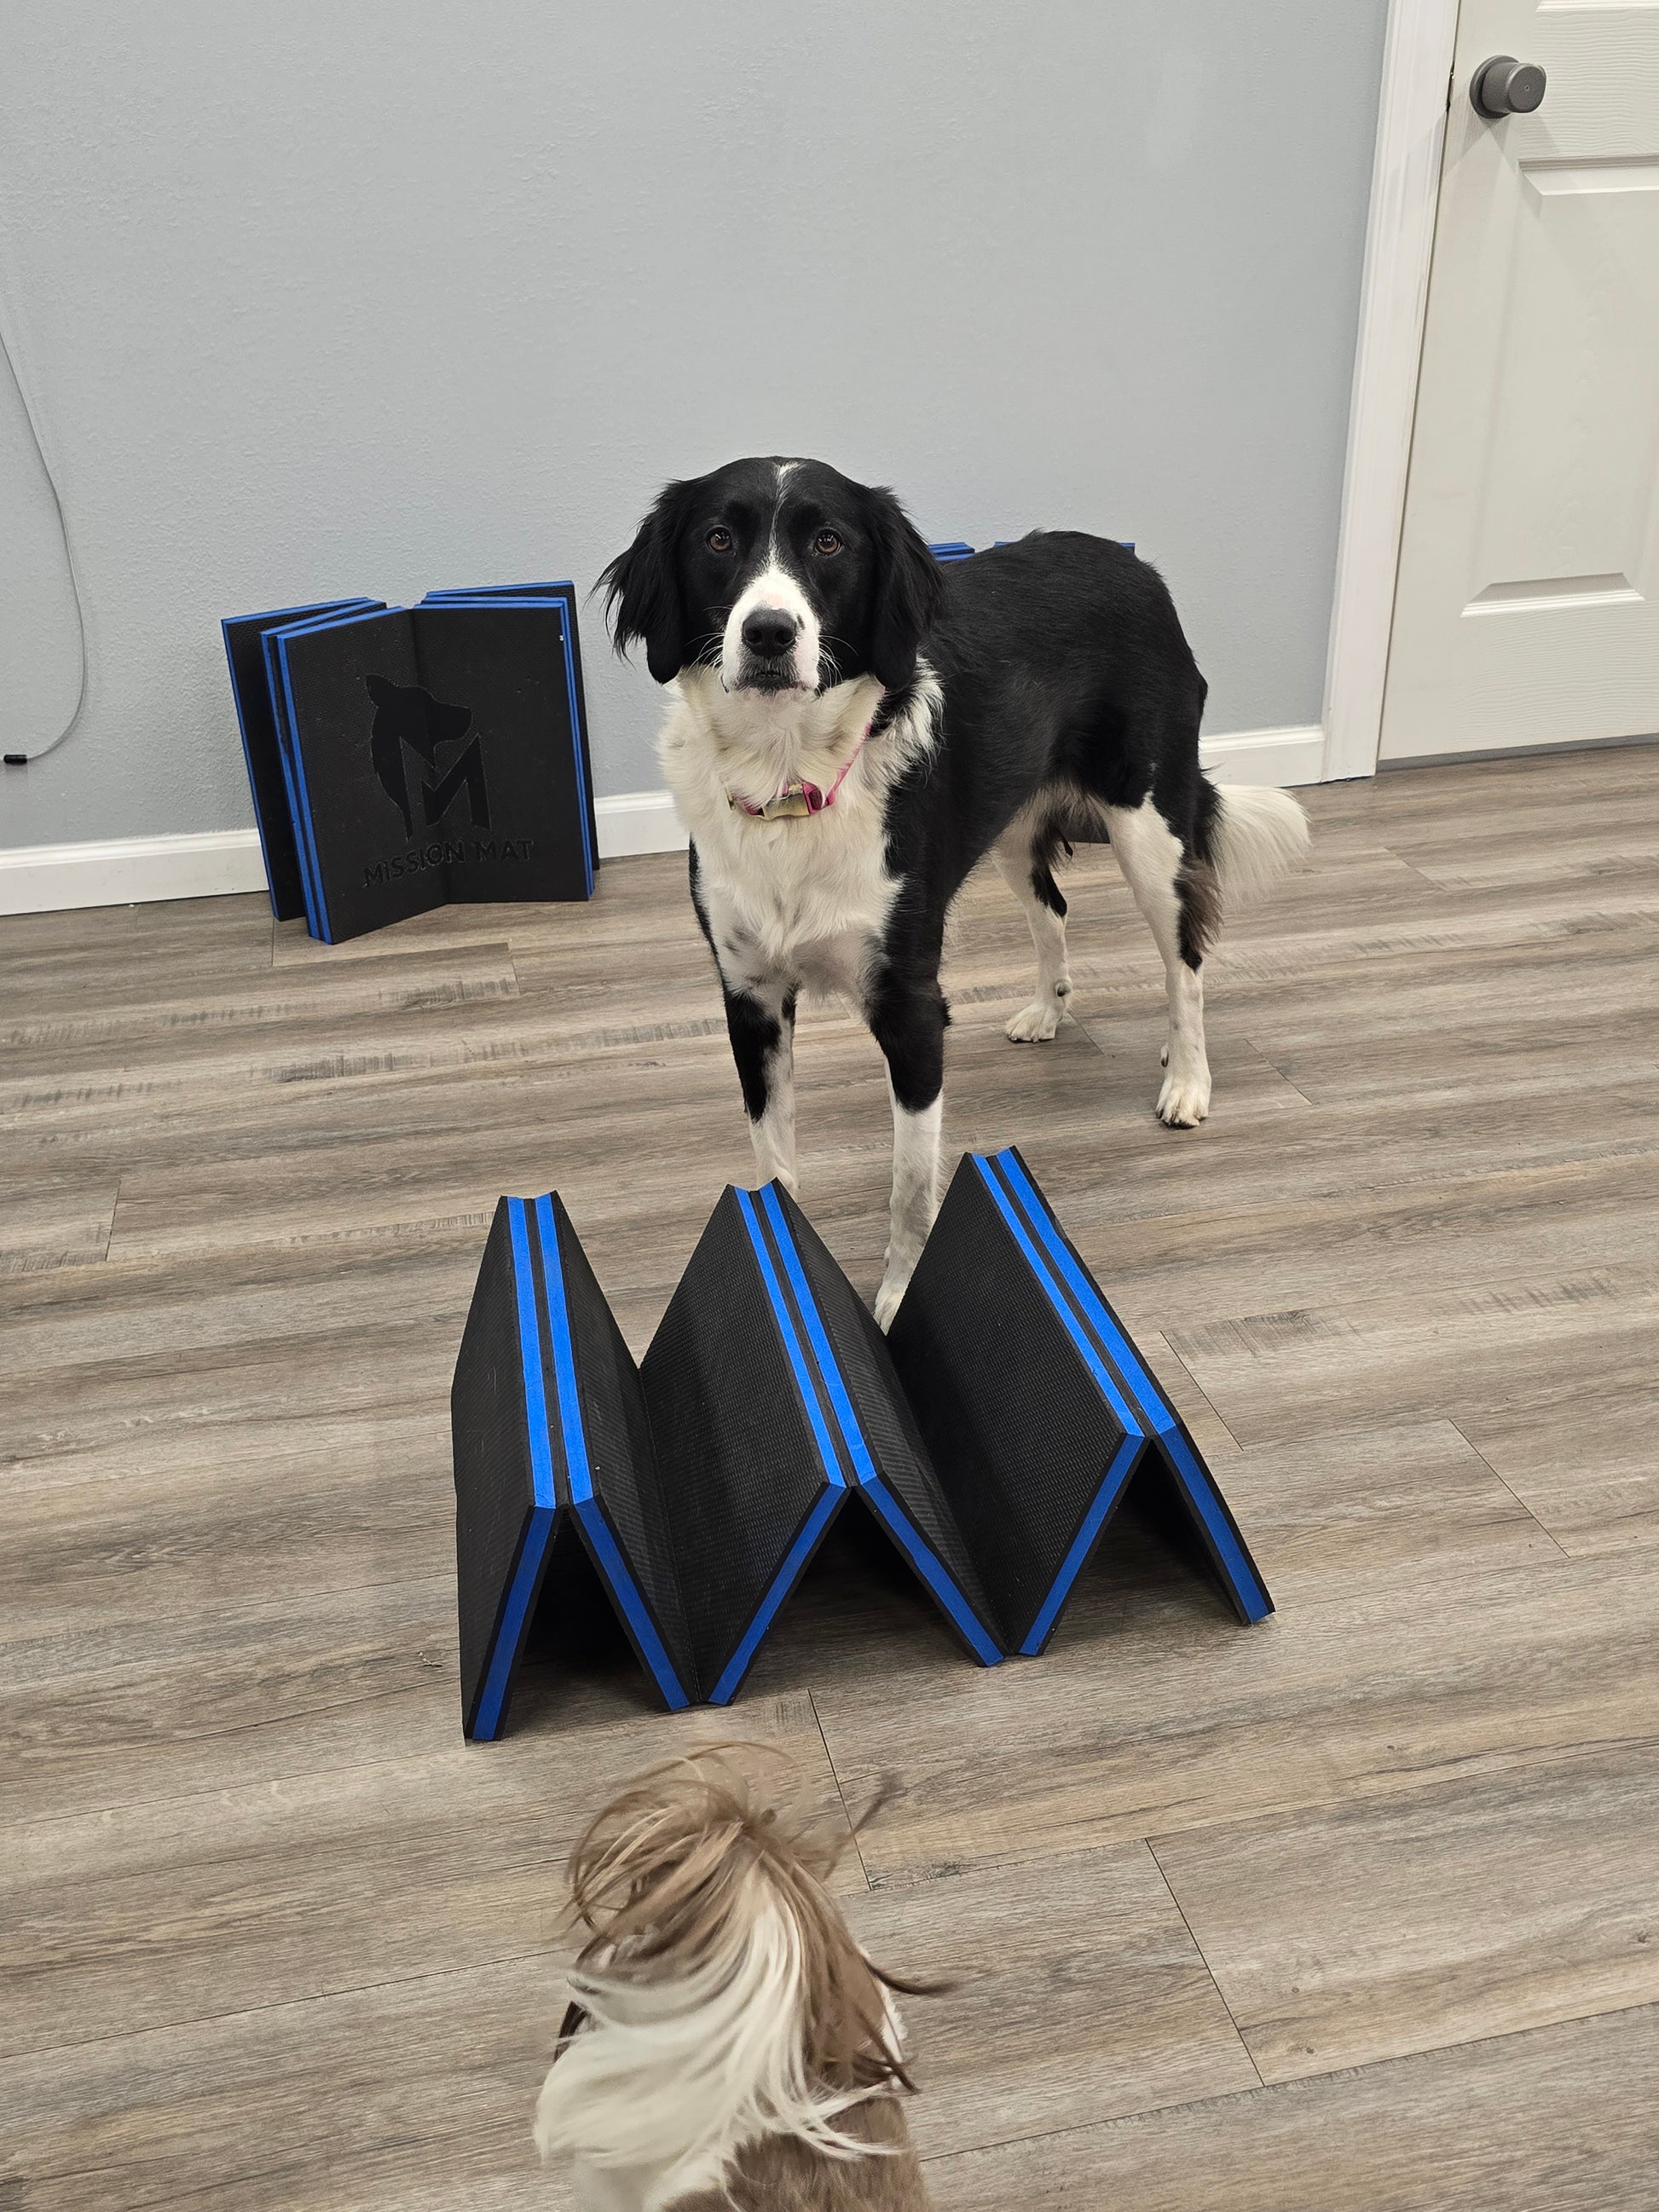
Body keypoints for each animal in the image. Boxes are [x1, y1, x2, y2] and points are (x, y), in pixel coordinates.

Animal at [601, 457, 1309, 1325]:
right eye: (718, 539)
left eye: (829, 541)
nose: (769, 632)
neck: (790, 778)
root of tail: (1134, 565)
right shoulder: (752, 998)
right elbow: (775, 1164)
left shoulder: (909, 1008)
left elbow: (911, 1187)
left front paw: (899, 1297)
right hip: (1008, 828)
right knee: (1055, 909)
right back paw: (1048, 1011)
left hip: (1149, 826)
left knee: (1187, 960)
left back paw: (1187, 1075)